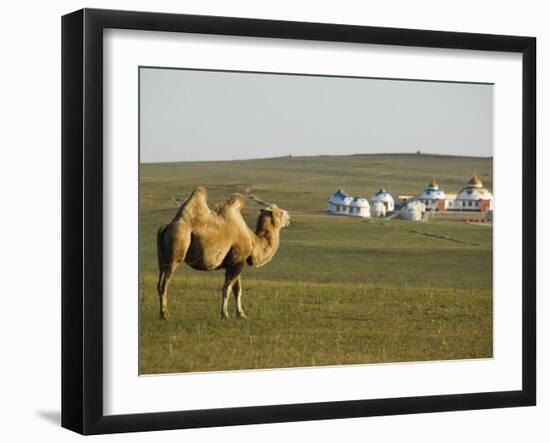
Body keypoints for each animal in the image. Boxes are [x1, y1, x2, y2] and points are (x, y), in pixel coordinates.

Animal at [157, 186, 292, 320]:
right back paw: (165, 314)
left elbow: (237, 290)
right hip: (176, 251)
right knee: (164, 283)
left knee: (159, 283)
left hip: (163, 258)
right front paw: (225, 314)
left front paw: (241, 314)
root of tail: (167, 226)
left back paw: (163, 313)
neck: (252, 240)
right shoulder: (237, 261)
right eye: (281, 213)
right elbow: (227, 288)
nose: (289, 216)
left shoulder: (236, 262)